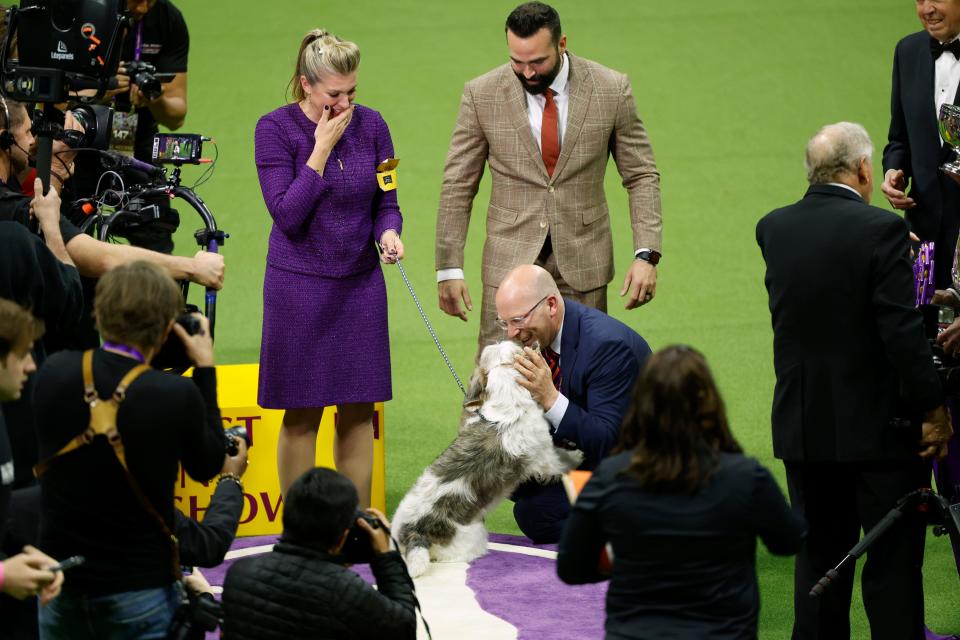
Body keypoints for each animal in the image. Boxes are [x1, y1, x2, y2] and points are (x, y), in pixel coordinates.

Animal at [392, 342, 584, 576]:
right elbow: (561, 460)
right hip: (473, 534)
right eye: (520, 346)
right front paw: (578, 455)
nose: (534, 344)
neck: (508, 409)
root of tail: (415, 532)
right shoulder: (545, 459)